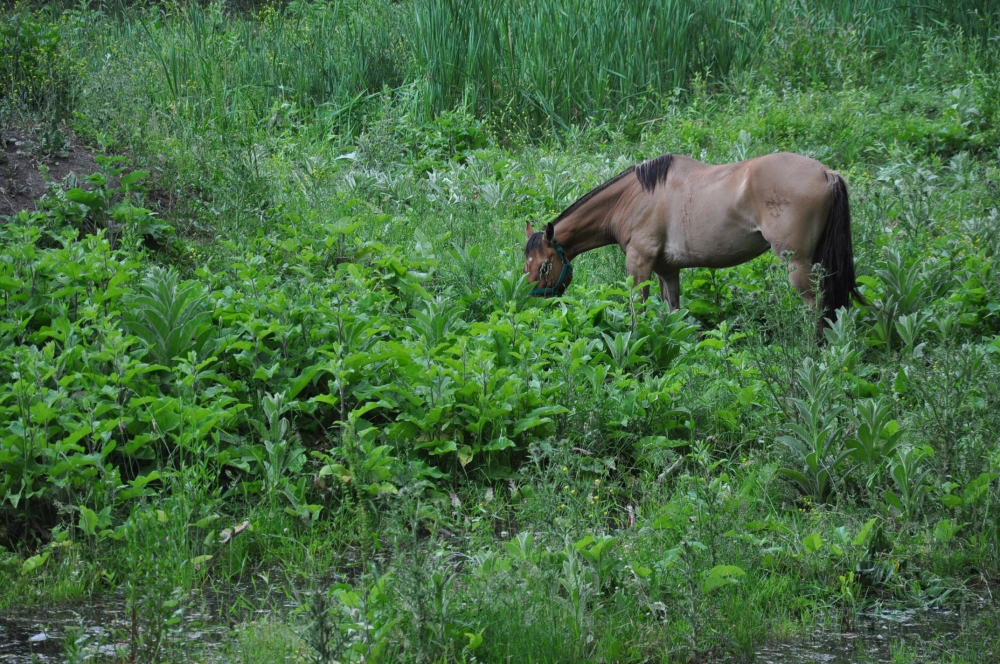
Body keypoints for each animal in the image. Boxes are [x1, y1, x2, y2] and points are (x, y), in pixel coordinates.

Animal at [520, 153, 864, 324]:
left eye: (545, 266)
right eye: (525, 265)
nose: (532, 304)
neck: (631, 198)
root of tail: (827, 173)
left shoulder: (639, 263)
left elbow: (637, 309)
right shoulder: (667, 270)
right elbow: (674, 312)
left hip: (797, 265)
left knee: (816, 305)